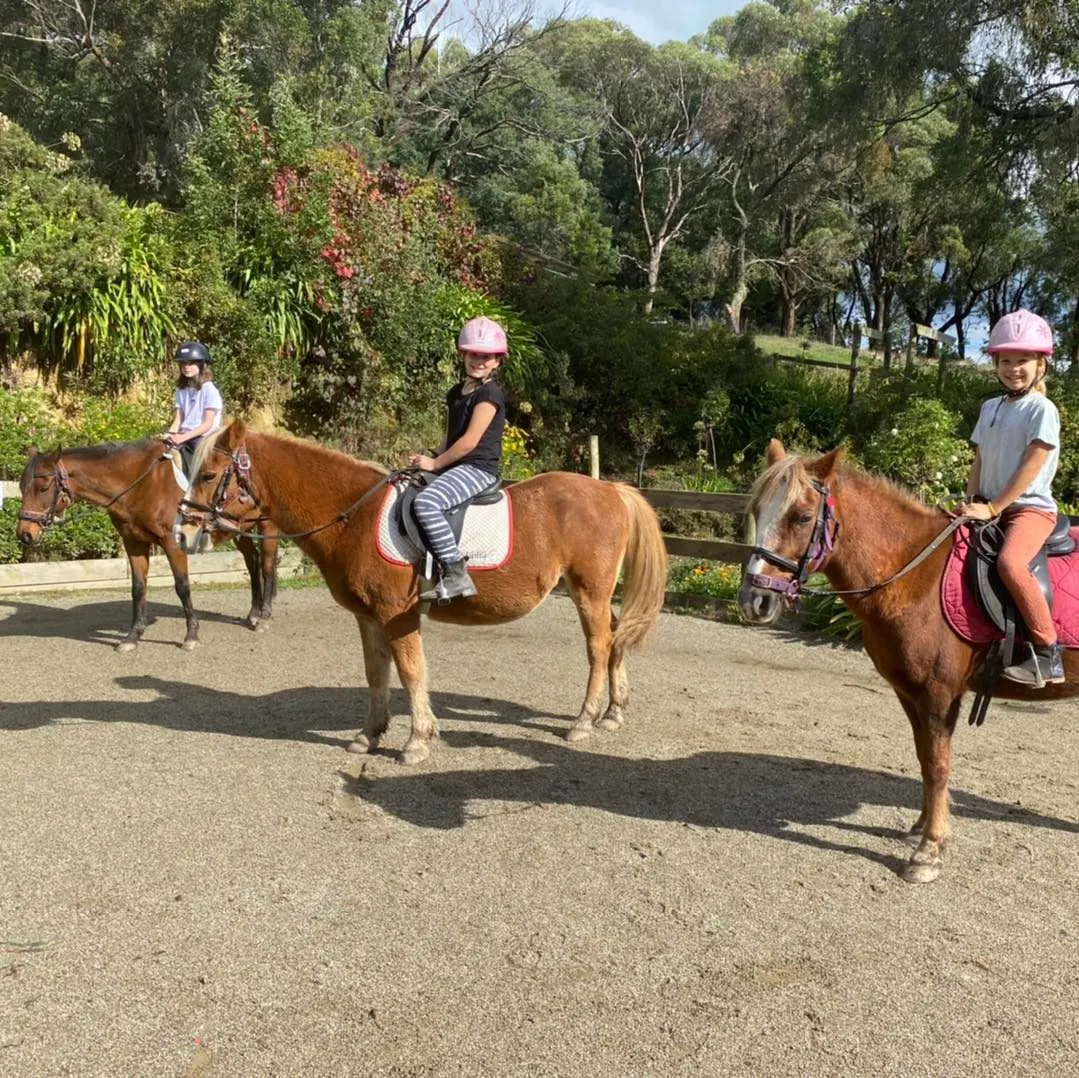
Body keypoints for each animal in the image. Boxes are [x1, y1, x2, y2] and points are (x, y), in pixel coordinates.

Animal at [16, 438, 278, 647]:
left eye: (43, 487)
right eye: (21, 487)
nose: (25, 534)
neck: (141, 485)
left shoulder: (173, 544)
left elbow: (182, 586)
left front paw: (191, 636)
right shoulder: (134, 543)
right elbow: (138, 588)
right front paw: (133, 636)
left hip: (268, 526)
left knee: (266, 565)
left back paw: (264, 617)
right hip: (239, 530)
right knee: (253, 562)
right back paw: (254, 614)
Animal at [176, 420, 664, 768]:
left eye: (211, 474)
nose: (182, 533)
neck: (354, 516)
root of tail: (610, 489)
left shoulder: (398, 614)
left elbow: (412, 673)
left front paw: (417, 742)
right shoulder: (368, 617)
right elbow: (376, 674)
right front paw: (370, 735)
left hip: (589, 591)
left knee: (599, 647)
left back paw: (584, 721)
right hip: (595, 595)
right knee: (615, 638)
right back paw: (613, 712)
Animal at [742, 438, 1079, 884]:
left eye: (802, 517)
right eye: (757, 511)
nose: (753, 600)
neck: (915, 576)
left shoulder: (939, 694)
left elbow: (938, 765)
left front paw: (929, 852)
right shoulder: (910, 692)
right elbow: (923, 758)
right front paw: (922, 828)